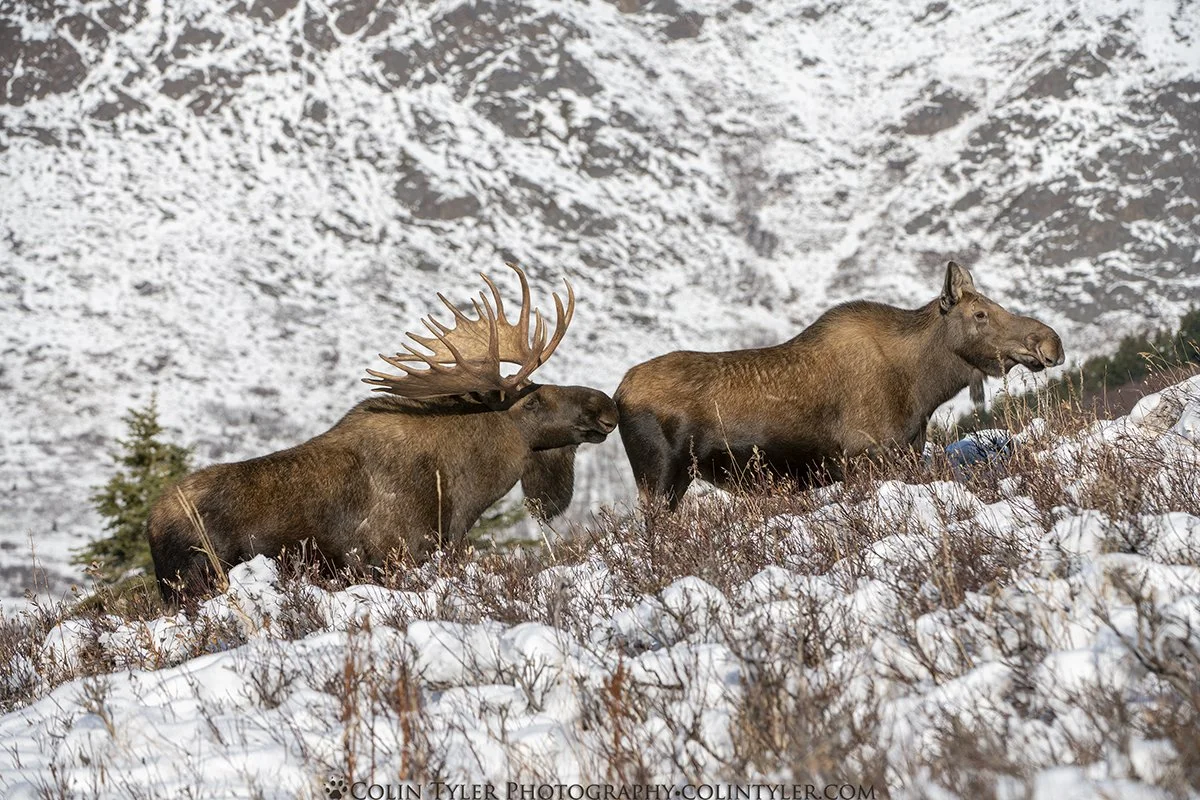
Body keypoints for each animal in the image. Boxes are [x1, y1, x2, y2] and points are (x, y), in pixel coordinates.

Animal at [148, 265, 619, 604]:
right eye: (532, 401)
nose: (605, 405)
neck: (467, 489)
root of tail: (152, 524)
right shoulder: (395, 555)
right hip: (196, 582)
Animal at [615, 261, 1064, 508]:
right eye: (980, 314)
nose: (1050, 342)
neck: (924, 387)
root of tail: (617, 396)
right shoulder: (868, 460)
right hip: (659, 480)